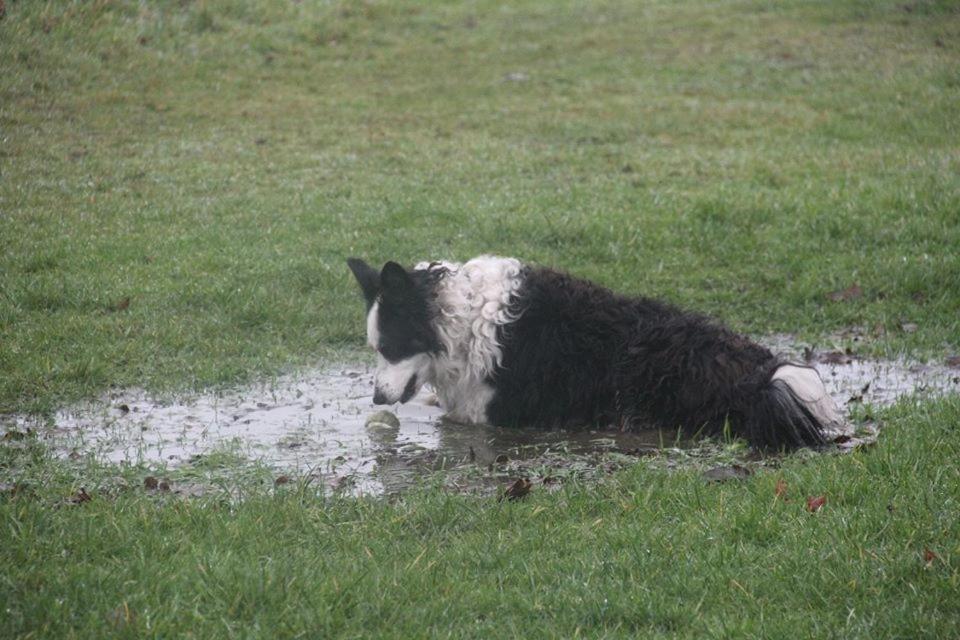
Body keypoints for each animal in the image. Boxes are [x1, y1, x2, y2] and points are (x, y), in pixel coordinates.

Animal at [346, 255, 840, 450]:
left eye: (389, 348)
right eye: (375, 350)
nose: (375, 398)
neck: (460, 322)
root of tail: (760, 377)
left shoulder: (491, 411)